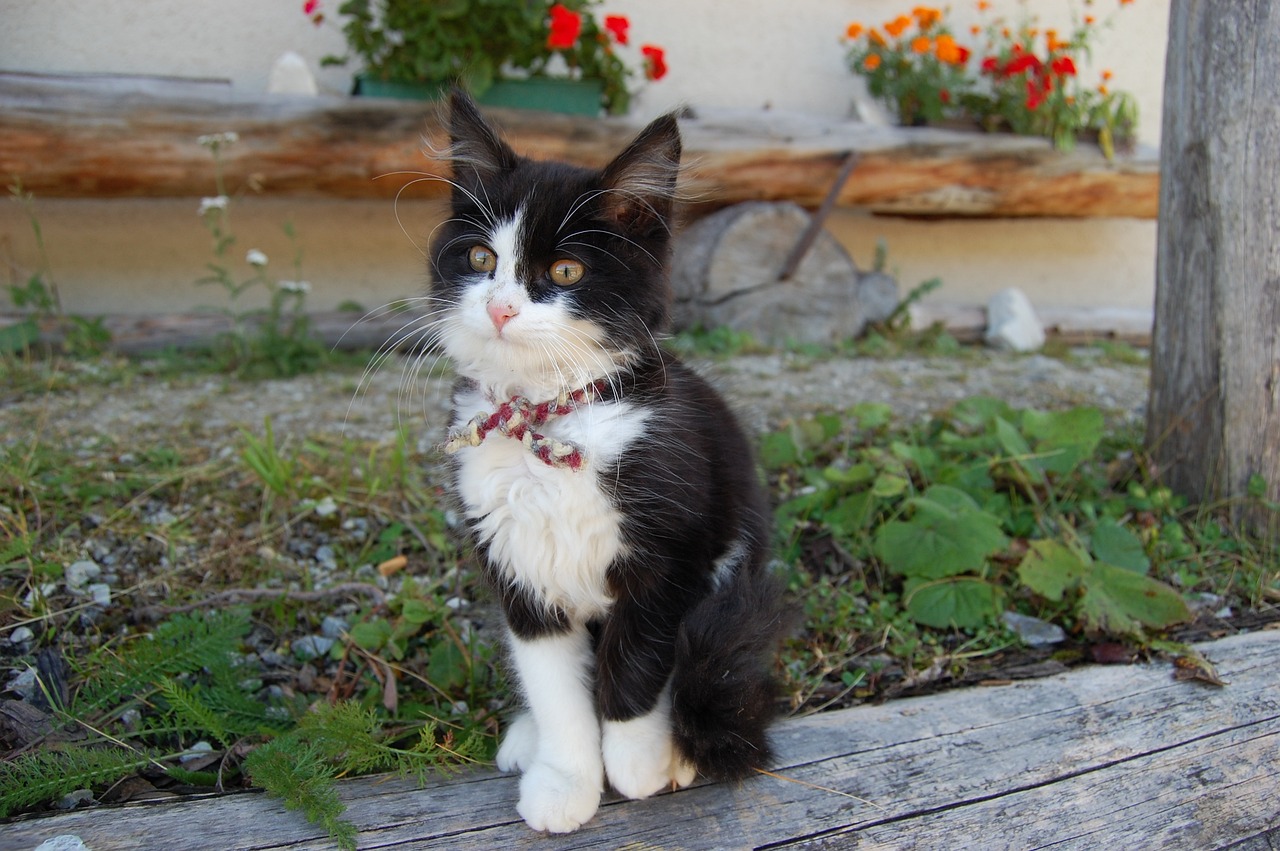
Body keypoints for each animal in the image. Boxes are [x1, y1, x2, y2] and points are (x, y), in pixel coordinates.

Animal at [430, 91, 778, 829]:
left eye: (565, 271)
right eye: (479, 258)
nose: (501, 307)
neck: (548, 421)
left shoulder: (673, 552)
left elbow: (637, 662)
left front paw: (638, 761)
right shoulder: (515, 562)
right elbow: (556, 684)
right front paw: (566, 778)